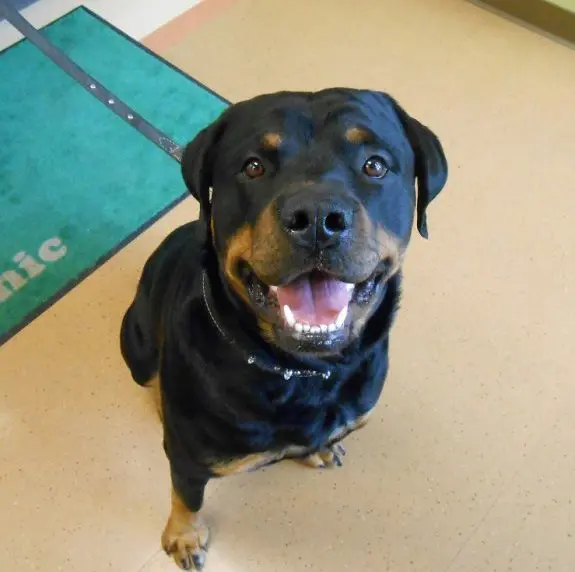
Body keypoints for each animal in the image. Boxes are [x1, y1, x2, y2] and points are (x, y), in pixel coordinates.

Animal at [120, 88, 448, 570]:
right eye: (253, 166)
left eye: (375, 164)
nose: (317, 217)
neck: (300, 372)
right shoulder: (188, 457)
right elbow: (186, 495)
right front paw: (184, 535)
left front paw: (319, 447)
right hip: (137, 345)